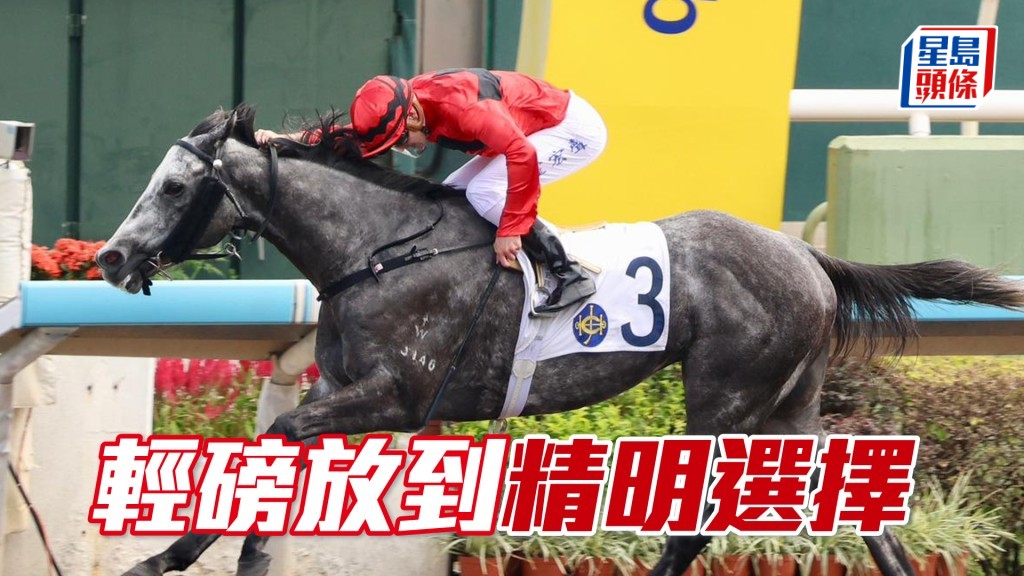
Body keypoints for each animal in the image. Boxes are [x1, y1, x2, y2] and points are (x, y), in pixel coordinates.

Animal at [96, 104, 1024, 576]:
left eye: (174, 186)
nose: (109, 257)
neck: (378, 249)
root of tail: (803, 252)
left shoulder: (394, 399)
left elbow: (278, 439)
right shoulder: (340, 393)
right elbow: (268, 459)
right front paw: (191, 558)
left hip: (727, 397)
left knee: (695, 523)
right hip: (786, 404)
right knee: (861, 507)